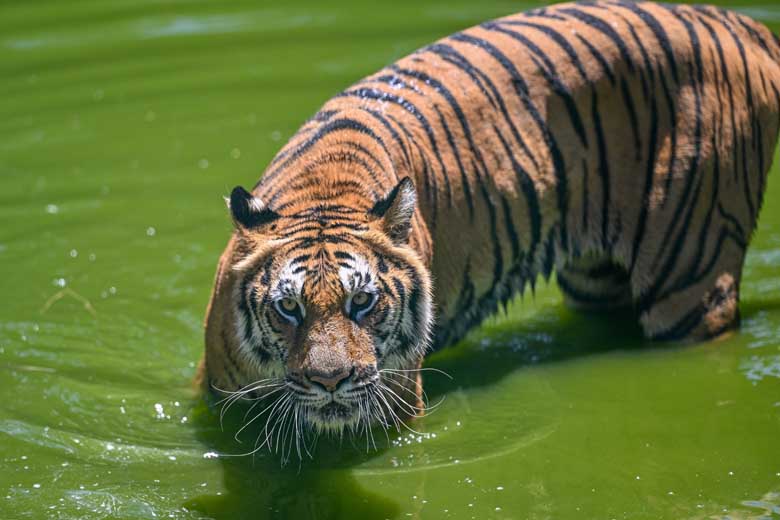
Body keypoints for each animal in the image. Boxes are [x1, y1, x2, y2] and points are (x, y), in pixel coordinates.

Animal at [198, 0, 780, 456]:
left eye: (361, 302)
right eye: (288, 308)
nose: (330, 380)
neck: (323, 192)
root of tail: (743, 24)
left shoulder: (396, 408)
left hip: (689, 278)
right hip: (598, 278)